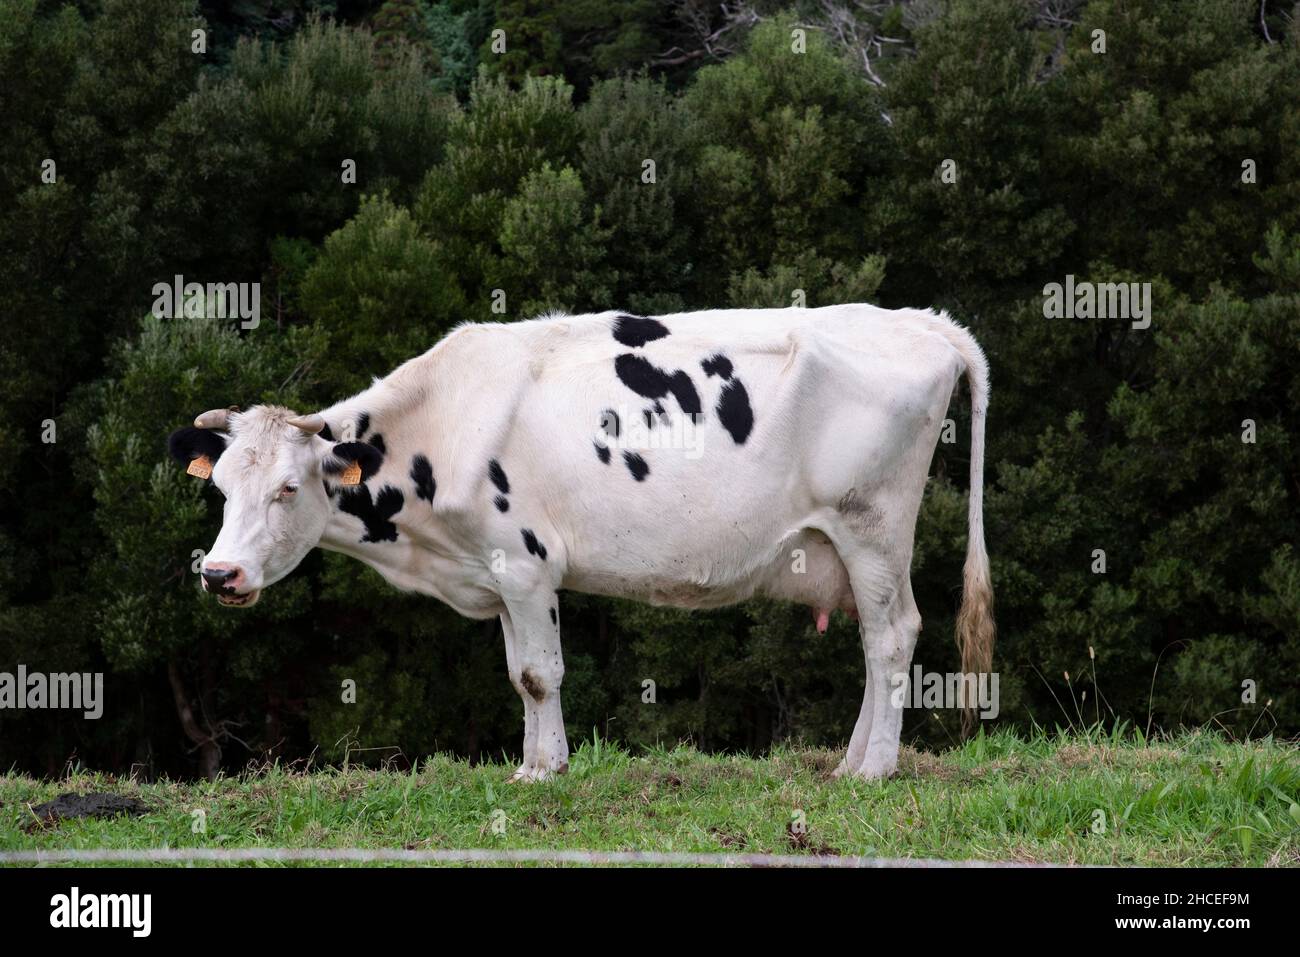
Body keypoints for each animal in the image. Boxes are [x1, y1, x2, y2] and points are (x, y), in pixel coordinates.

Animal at [165, 304, 993, 780]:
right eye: (223, 487)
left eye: (288, 488)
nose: (220, 572)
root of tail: (924, 320)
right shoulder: (497, 571)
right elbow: (517, 673)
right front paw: (535, 761)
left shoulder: (527, 562)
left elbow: (539, 673)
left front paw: (544, 771)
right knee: (876, 643)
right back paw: (852, 759)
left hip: (872, 524)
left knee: (893, 636)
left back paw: (873, 769)